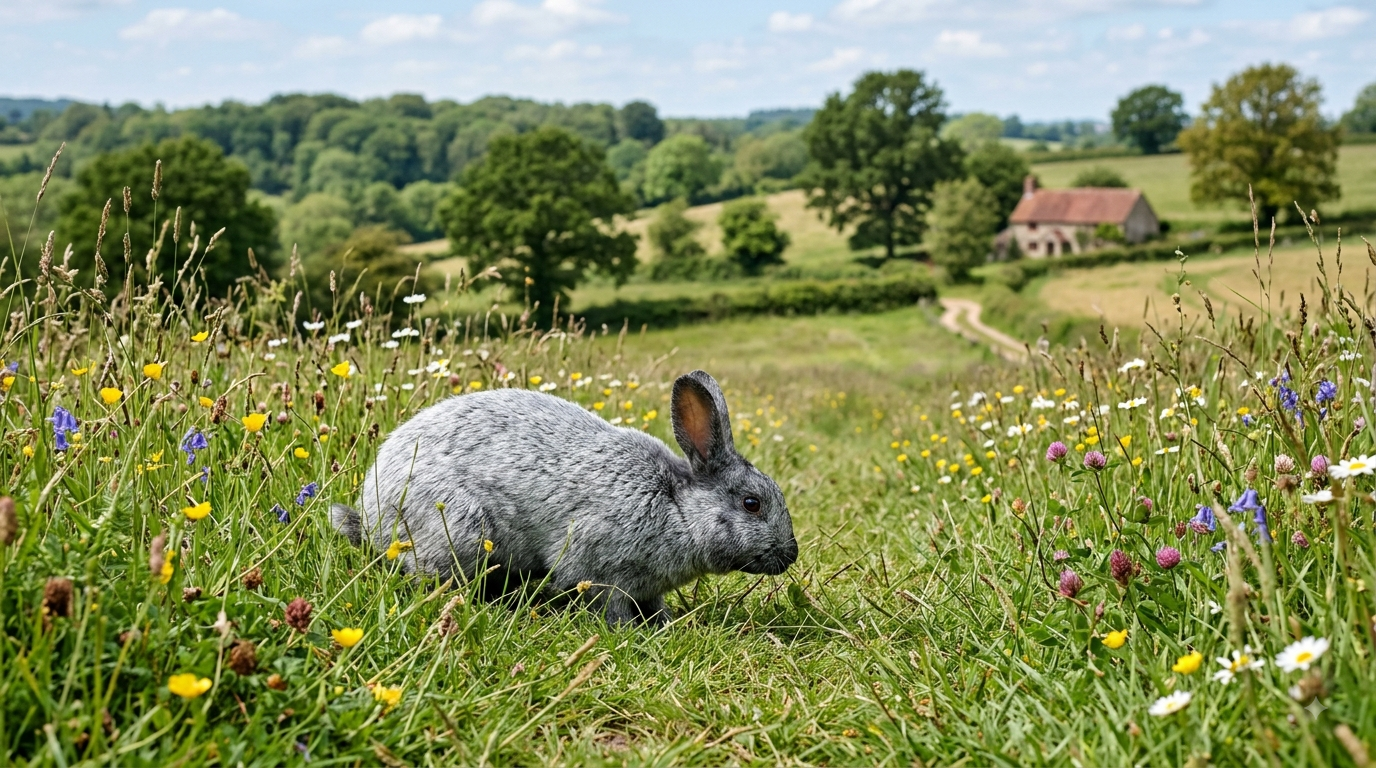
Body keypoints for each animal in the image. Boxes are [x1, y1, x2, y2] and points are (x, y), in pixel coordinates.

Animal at [331, 369, 797, 624]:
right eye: (752, 504)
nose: (791, 554)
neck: (677, 508)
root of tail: (372, 515)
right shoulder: (600, 569)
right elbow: (609, 605)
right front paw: (628, 632)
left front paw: (665, 624)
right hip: (459, 529)